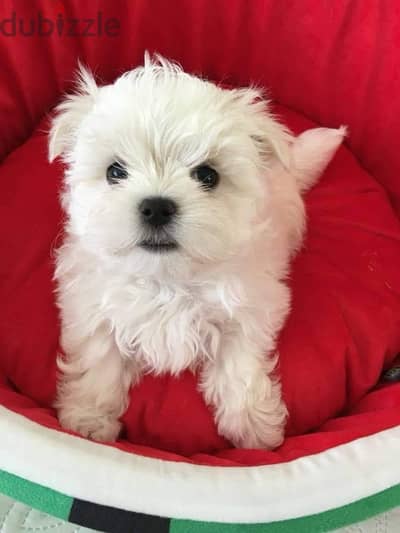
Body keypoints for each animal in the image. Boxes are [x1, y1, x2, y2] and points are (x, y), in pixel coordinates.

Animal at [49, 56, 344, 448]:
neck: (167, 279)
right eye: (115, 171)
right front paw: (88, 419)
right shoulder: (91, 302)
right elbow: (100, 357)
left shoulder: (250, 304)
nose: (157, 207)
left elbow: (240, 361)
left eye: (207, 175)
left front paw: (253, 426)